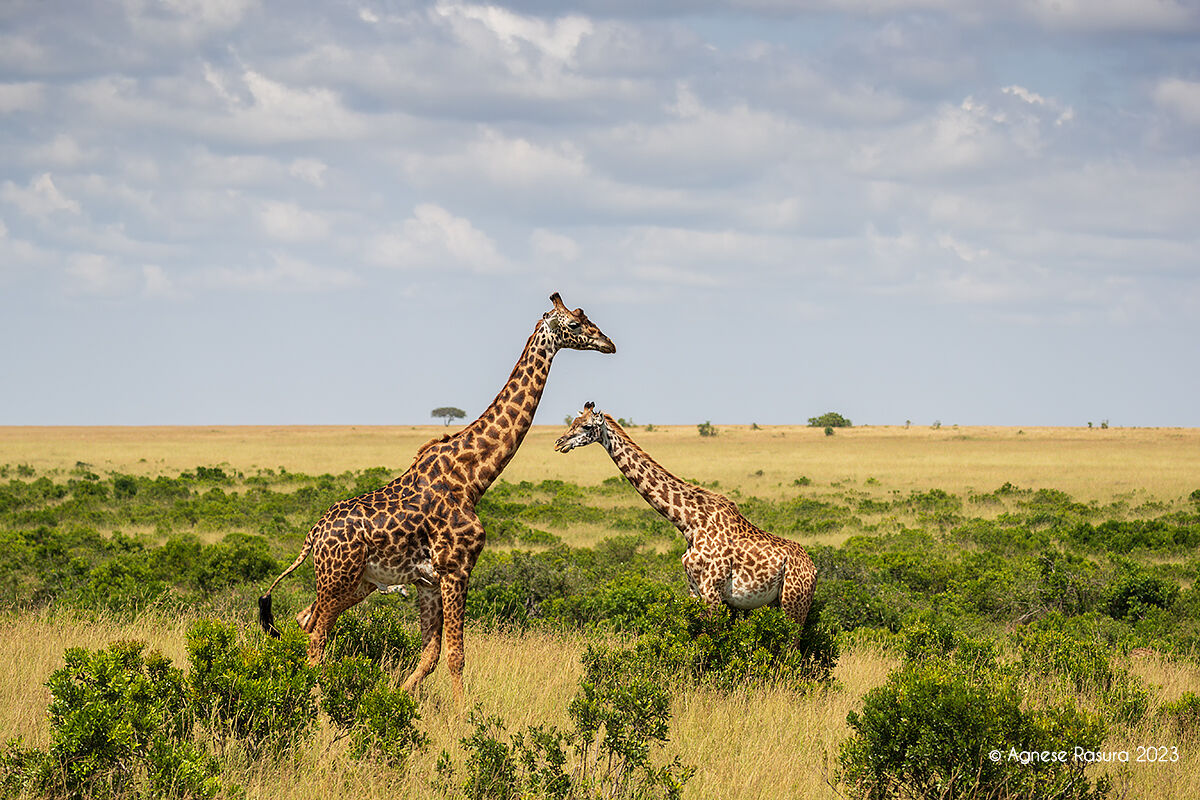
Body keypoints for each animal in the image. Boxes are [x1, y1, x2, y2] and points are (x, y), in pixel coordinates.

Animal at [258, 294, 616, 701]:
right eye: (574, 324)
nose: (608, 343)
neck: (472, 477)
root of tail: (312, 536)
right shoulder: (456, 569)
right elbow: (455, 657)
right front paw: (464, 716)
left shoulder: (427, 581)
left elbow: (429, 656)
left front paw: (399, 699)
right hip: (338, 578)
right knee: (317, 634)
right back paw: (316, 703)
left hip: (358, 582)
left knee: (306, 619)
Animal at [555, 403, 817, 627]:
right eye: (572, 422)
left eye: (586, 426)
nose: (559, 443)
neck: (688, 523)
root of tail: (814, 569)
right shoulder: (694, 588)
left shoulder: (712, 590)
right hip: (776, 603)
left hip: (794, 603)